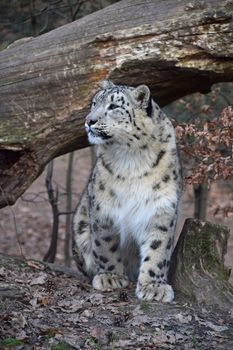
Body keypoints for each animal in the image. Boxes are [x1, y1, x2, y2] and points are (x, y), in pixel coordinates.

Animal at [73, 80, 182, 302]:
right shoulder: (103, 206)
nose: (89, 121)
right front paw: (110, 277)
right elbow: (105, 243)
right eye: (94, 103)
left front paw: (153, 287)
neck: (131, 158)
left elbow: (158, 247)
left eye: (114, 106)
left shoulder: (162, 206)